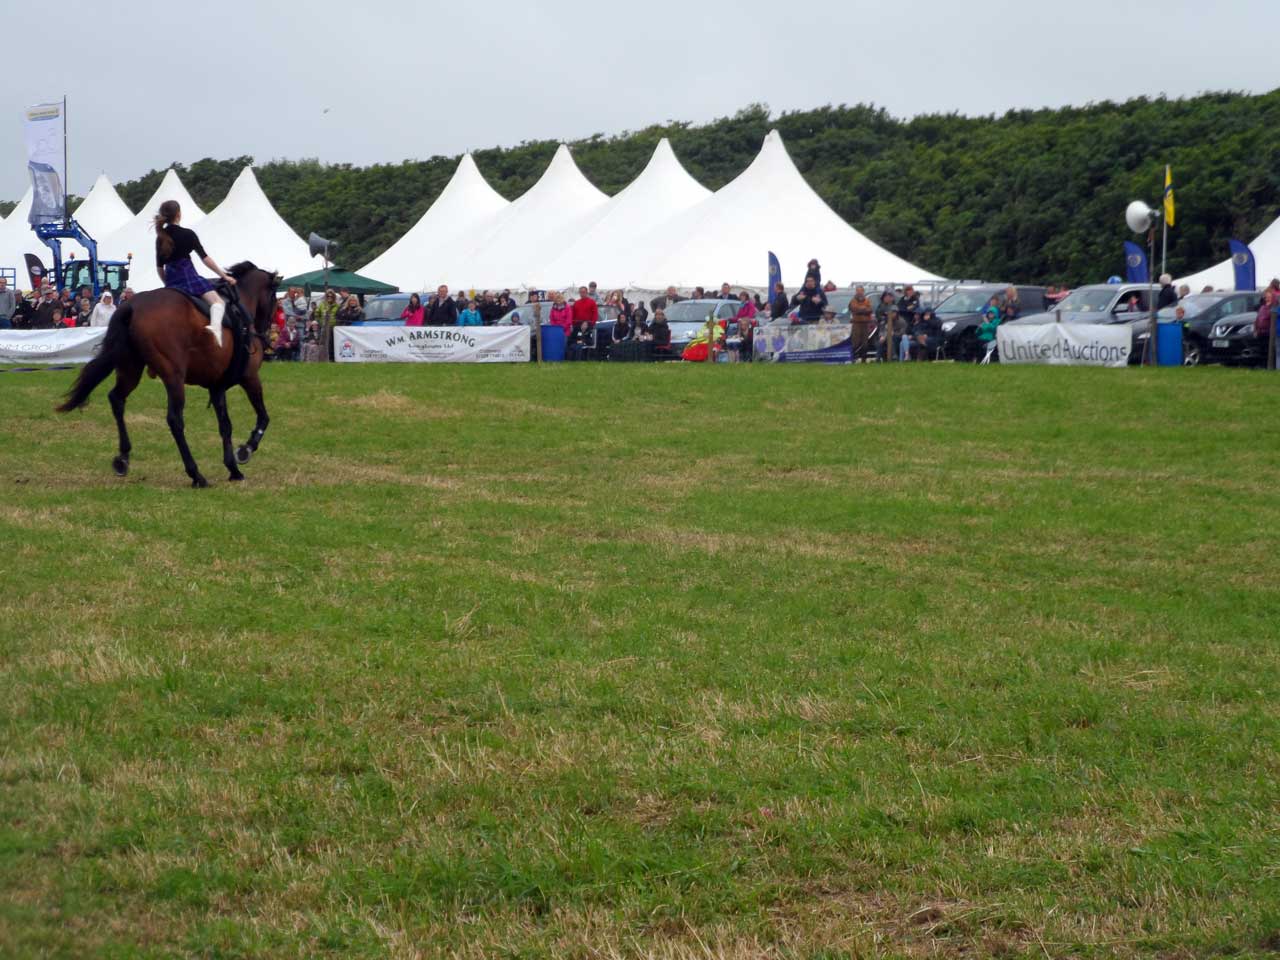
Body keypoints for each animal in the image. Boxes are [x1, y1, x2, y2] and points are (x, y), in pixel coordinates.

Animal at [56, 263, 280, 488]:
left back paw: (123, 458)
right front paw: (246, 450)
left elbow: (225, 425)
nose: (265, 333)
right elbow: (264, 417)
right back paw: (196, 474)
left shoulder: (217, 386)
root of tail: (133, 306)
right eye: (273, 298)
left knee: (117, 399)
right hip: (173, 377)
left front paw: (233, 468)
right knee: (175, 420)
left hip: (131, 369)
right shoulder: (250, 378)